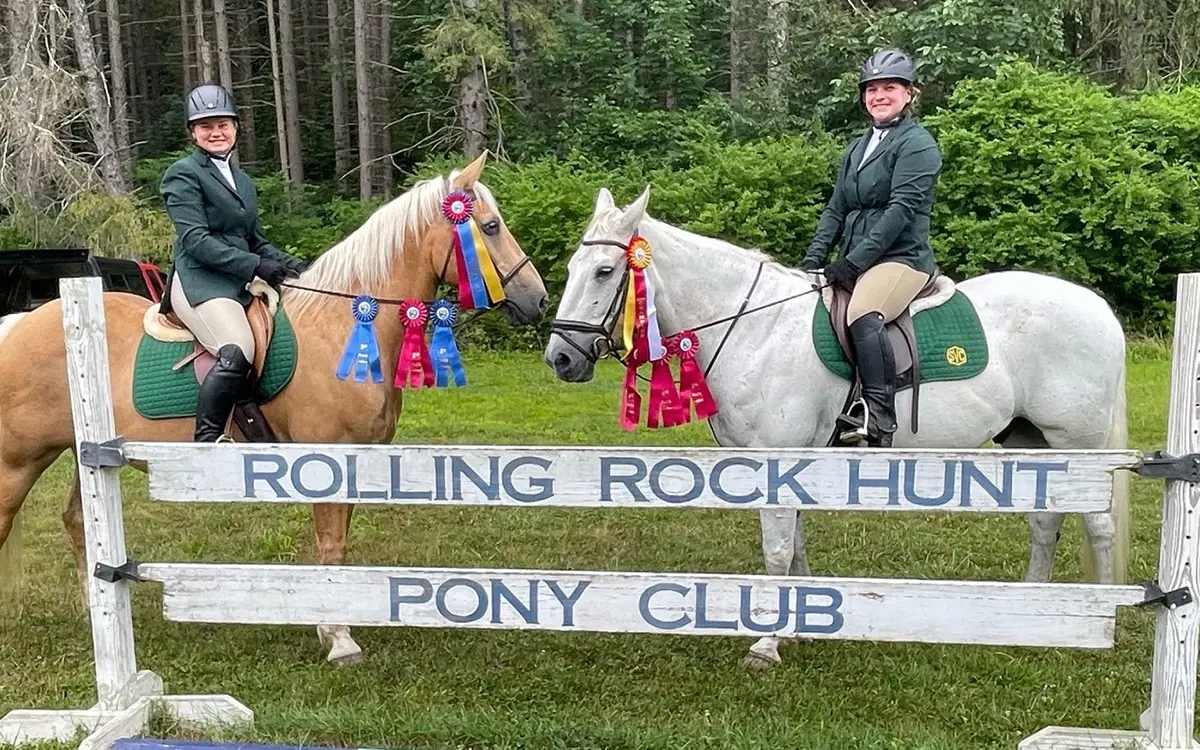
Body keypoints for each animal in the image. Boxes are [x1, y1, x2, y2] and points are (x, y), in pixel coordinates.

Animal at [0, 152, 549, 667]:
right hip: (18, 462)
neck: (344, 331)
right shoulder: (328, 461)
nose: (538, 301)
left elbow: (339, 547)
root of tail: (18, 323)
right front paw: (339, 639)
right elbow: (330, 547)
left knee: (77, 522)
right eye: (490, 226)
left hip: (82, 453)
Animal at [549, 187, 1128, 667]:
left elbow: (778, 551)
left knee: (1098, 528)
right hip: (1033, 440)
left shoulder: (776, 458)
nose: (560, 358)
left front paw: (766, 645)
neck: (755, 328)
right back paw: (1031, 616)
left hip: (1078, 443)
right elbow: (797, 545)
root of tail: (1099, 308)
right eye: (575, 265)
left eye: (605, 271)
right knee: (1046, 521)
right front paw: (801, 628)